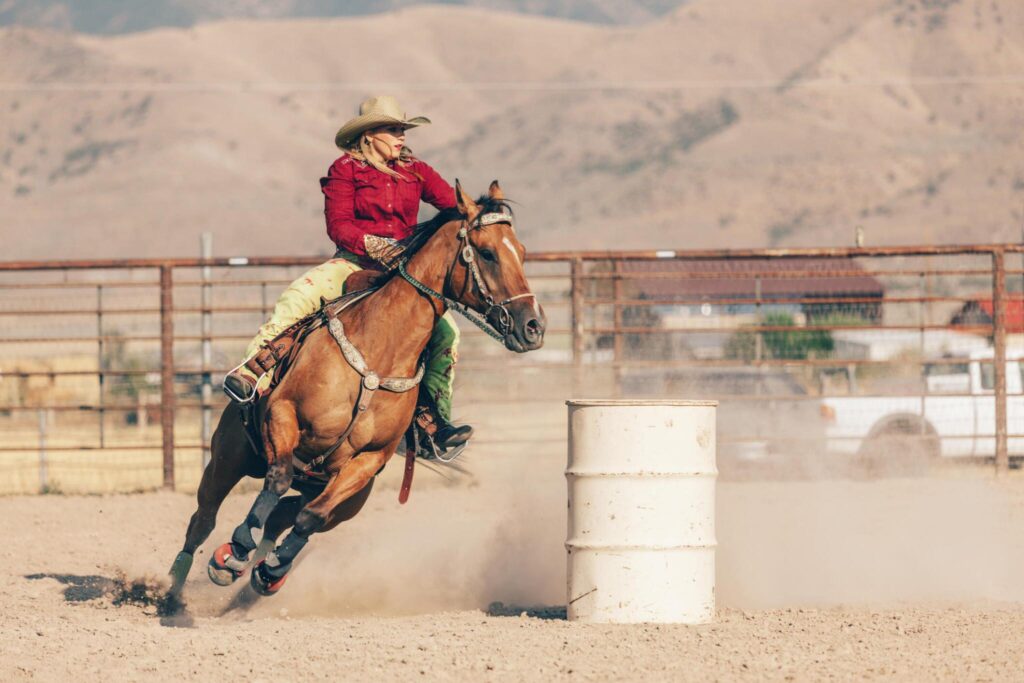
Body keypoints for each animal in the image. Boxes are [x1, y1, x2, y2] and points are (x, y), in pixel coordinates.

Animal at [165, 180, 544, 598]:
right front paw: (235, 552)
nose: (533, 327)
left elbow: (310, 518)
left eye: (522, 251)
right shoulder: (283, 413)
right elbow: (276, 478)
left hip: (345, 499)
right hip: (228, 457)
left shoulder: (368, 462)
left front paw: (270, 569)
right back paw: (175, 590)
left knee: (287, 514)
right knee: (204, 518)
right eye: (488, 253)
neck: (379, 353)